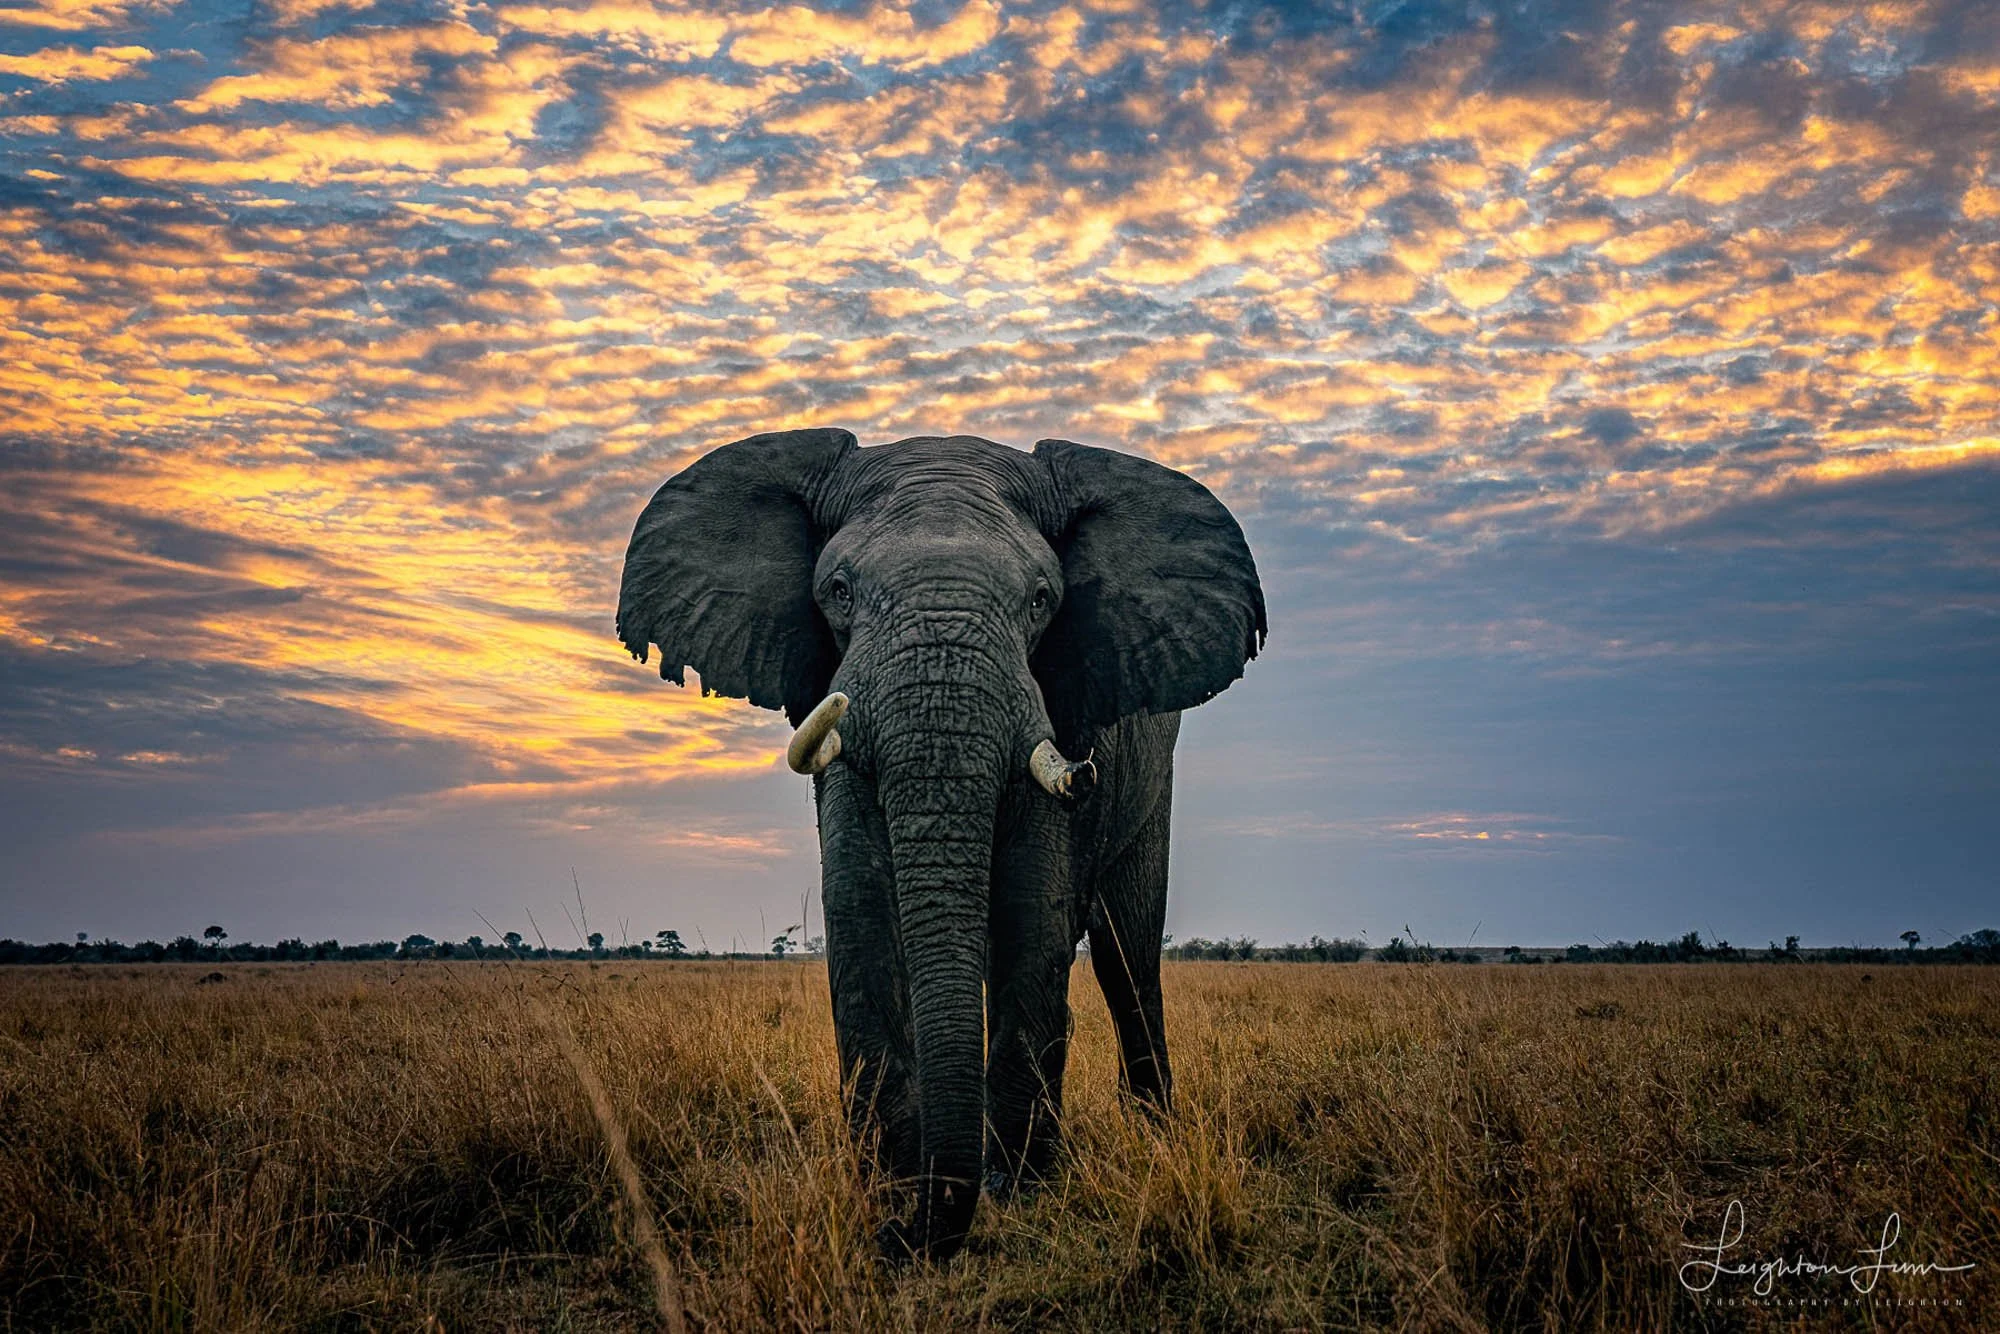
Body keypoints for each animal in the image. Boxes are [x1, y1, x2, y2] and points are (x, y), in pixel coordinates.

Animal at [616, 428, 1265, 1261]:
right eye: (838, 591)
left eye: (1042, 600)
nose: (906, 1234)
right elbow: (860, 906)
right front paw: (891, 1192)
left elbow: (1033, 911)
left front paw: (1014, 1192)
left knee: (1127, 954)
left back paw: (1151, 1140)